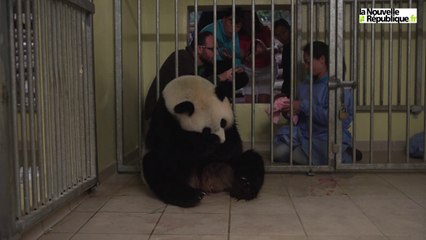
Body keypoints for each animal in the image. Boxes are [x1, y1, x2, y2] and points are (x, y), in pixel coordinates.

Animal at [143, 75, 262, 208]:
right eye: (206, 130)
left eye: (223, 122)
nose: (221, 140)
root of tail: (206, 183)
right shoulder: (163, 118)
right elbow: (168, 149)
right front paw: (208, 144)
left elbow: (235, 144)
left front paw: (223, 147)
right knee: (156, 169)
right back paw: (190, 196)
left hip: (230, 165)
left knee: (251, 160)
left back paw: (244, 187)